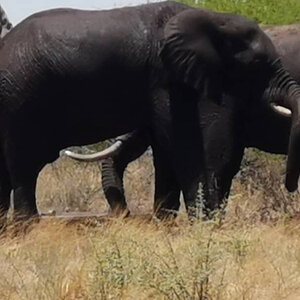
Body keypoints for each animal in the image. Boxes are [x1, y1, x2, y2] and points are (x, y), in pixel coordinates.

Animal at [0, 1, 300, 219]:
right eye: (259, 64)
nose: (124, 215)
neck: (215, 19)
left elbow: (194, 148)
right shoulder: (168, 78)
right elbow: (187, 145)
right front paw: (198, 223)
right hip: (19, 99)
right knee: (24, 165)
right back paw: (27, 227)